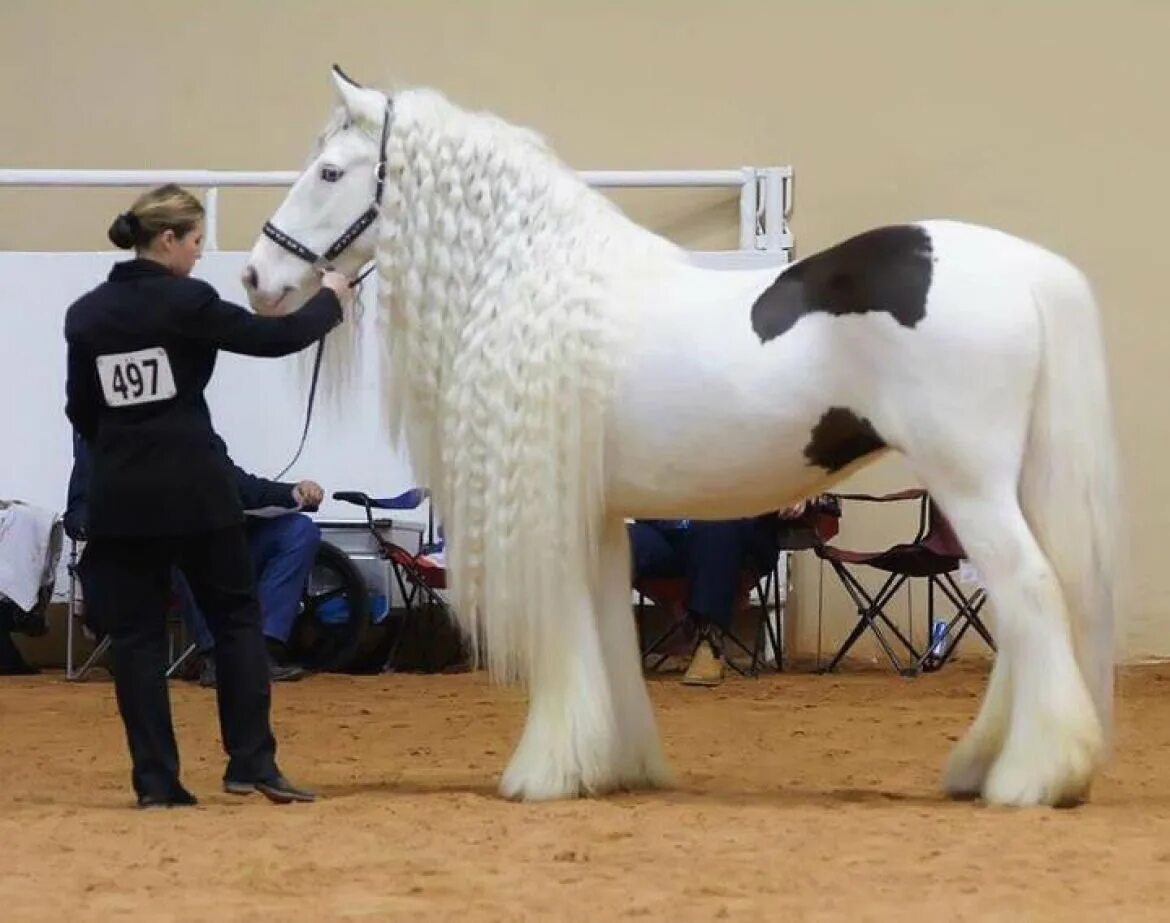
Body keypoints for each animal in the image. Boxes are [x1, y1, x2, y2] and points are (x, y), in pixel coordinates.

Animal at [242, 66, 1118, 804]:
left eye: (329, 173)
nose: (256, 278)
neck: (529, 274)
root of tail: (1025, 268)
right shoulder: (599, 512)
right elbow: (605, 629)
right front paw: (612, 762)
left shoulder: (549, 508)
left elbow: (567, 635)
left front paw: (543, 772)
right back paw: (987, 763)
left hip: (970, 485)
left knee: (1031, 593)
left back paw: (1033, 775)